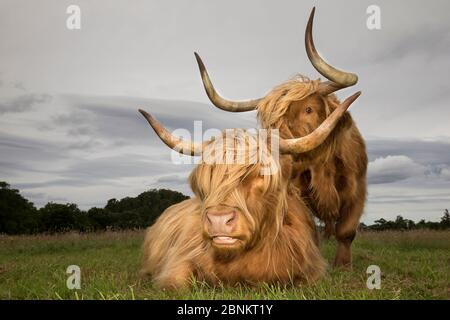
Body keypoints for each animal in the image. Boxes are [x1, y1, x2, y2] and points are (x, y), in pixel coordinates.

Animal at [137, 89, 358, 288]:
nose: (218, 220)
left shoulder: (312, 270)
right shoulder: (179, 260)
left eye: (262, 174)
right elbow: (177, 282)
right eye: (207, 178)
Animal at [195, 6, 368, 268]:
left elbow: (346, 230)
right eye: (269, 121)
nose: (271, 146)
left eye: (309, 109)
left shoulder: (357, 188)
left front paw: (343, 264)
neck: (322, 166)